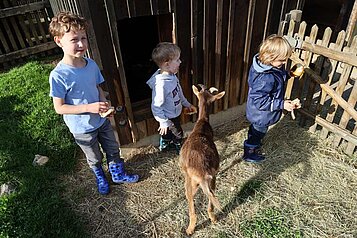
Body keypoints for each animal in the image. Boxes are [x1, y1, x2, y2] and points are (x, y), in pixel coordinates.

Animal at [179, 83, 224, 234]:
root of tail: (202, 174)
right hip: (213, 178)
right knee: (211, 200)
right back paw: (214, 219)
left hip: (190, 182)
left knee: (191, 205)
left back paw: (189, 229)